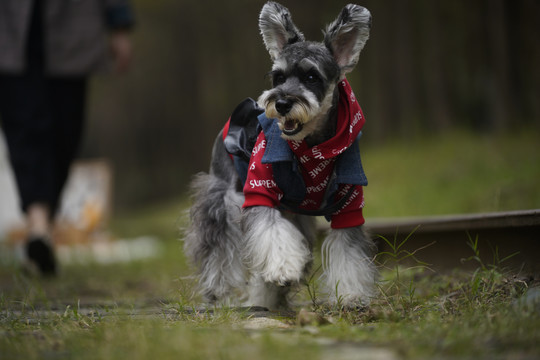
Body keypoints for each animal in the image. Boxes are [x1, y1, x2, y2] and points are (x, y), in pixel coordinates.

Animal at [185, 0, 376, 310]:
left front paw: (352, 294)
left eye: (312, 77)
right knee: (219, 250)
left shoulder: (349, 206)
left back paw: (267, 297)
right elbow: (271, 234)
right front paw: (283, 268)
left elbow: (349, 251)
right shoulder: (260, 191)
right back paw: (221, 293)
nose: (283, 103)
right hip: (222, 198)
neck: (312, 147)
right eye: (279, 77)